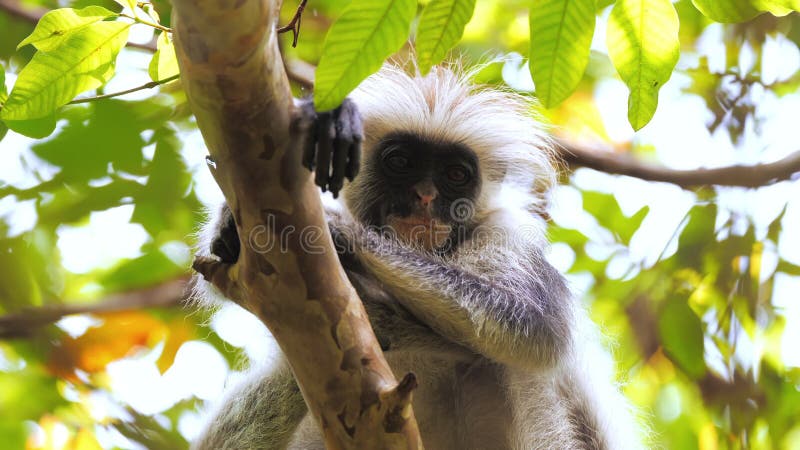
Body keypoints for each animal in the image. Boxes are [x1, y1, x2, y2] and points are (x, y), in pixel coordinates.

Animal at [194, 64, 644, 450]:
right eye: (401, 162)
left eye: (455, 175)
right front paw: (227, 227)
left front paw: (341, 235)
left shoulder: (506, 234)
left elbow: (535, 325)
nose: (425, 197)